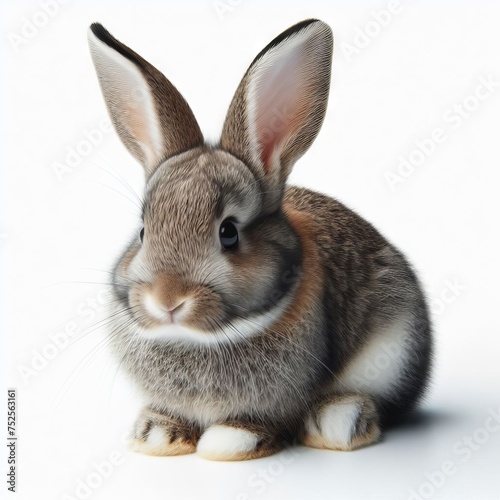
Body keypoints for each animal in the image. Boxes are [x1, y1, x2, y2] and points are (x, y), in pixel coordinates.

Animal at [88, 18, 432, 460]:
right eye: (144, 230)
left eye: (229, 232)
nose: (167, 300)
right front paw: (156, 433)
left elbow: (263, 421)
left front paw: (229, 441)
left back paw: (338, 422)